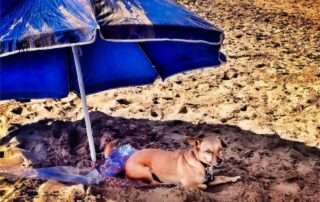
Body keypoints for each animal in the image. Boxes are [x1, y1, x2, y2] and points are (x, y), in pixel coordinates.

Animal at [104, 134, 240, 189]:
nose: (220, 161)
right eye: (208, 151)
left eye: (220, 150)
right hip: (145, 170)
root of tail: (128, 158)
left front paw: (234, 177)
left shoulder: (212, 178)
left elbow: (222, 177)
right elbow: (203, 185)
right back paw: (167, 184)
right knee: (153, 183)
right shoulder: (189, 183)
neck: (202, 164)